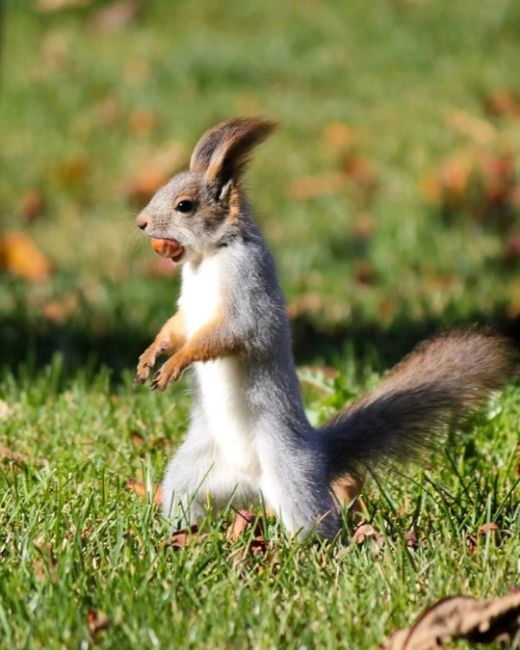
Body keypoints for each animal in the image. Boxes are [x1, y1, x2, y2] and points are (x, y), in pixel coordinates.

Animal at [134, 117, 516, 536]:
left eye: (184, 205)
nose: (141, 223)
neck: (207, 258)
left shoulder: (247, 295)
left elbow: (227, 334)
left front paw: (176, 363)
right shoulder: (189, 308)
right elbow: (177, 328)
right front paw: (151, 354)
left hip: (289, 476)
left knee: (313, 518)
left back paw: (313, 544)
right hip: (191, 475)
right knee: (184, 496)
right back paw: (179, 536)